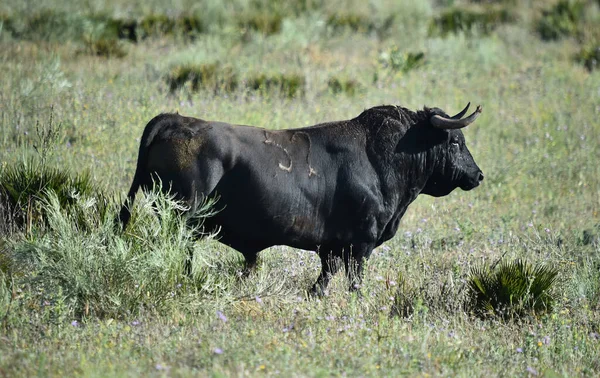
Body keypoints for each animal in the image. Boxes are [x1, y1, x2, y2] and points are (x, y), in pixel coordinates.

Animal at [119, 102, 486, 292]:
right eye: (456, 142)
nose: (478, 175)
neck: (380, 158)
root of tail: (175, 120)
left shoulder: (332, 249)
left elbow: (323, 281)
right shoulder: (360, 244)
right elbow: (354, 283)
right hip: (181, 219)